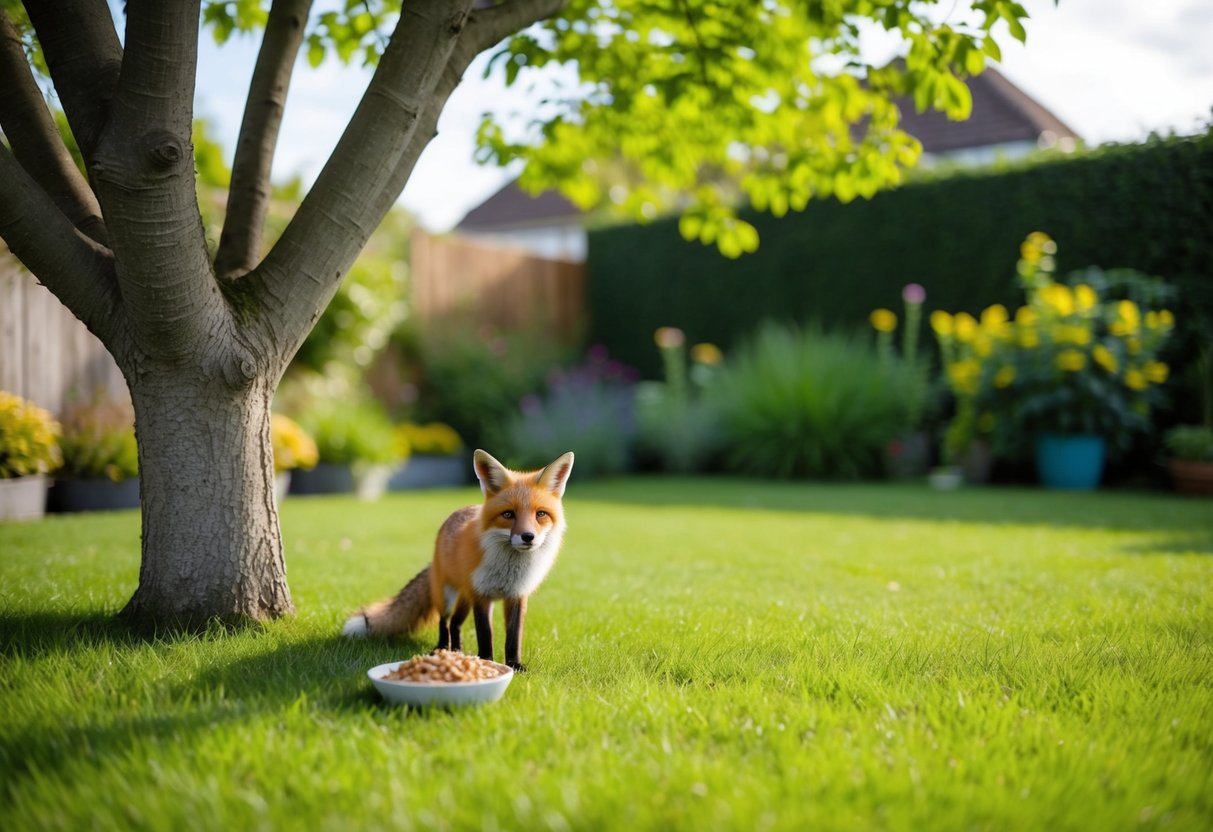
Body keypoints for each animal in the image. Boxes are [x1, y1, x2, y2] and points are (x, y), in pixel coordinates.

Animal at [342, 449, 575, 670]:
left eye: (540, 514)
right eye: (508, 515)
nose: (528, 537)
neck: (509, 571)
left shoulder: (516, 596)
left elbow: (513, 637)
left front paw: (514, 665)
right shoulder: (481, 596)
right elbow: (485, 634)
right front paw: (487, 661)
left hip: (465, 600)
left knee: (455, 623)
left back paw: (457, 650)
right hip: (447, 595)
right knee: (444, 622)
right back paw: (442, 649)